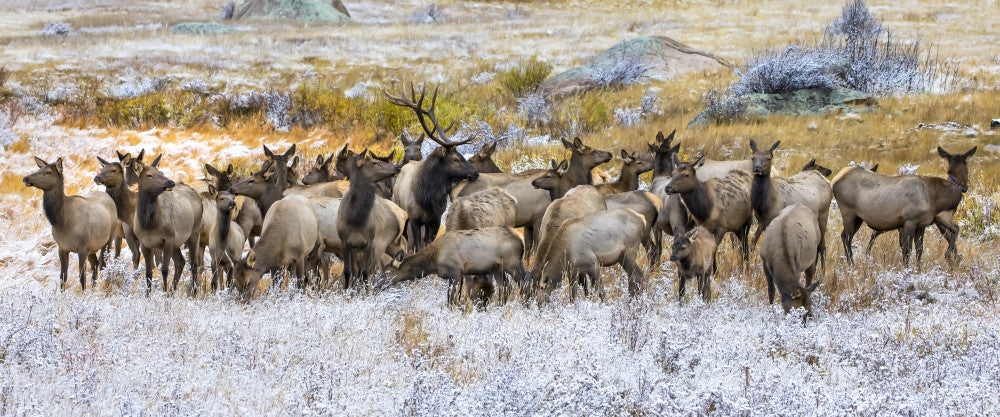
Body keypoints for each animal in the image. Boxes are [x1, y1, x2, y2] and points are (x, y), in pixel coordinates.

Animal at [24, 157, 117, 291]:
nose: (26, 178)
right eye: (39, 169)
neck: (63, 224)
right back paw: (94, 287)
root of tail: (108, 197)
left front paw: (84, 294)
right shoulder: (62, 247)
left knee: (104, 264)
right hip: (92, 247)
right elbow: (63, 277)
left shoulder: (82, 246)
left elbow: (81, 277)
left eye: (48, 172)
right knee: (95, 264)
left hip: (108, 238)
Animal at [130, 157, 204, 295]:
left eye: (161, 173)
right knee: (181, 262)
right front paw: (147, 295)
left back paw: (194, 292)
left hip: (194, 233)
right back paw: (172, 291)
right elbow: (148, 273)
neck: (150, 225)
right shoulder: (144, 243)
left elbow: (164, 270)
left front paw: (163, 293)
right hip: (176, 243)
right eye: (149, 175)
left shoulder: (168, 238)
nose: (170, 182)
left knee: (194, 263)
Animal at [336, 150, 402, 289]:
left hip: (382, 244)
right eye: (374, 162)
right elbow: (348, 271)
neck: (355, 219)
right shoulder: (345, 242)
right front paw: (348, 290)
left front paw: (364, 292)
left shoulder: (369, 242)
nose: (398, 167)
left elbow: (365, 272)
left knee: (377, 268)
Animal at [385, 83, 479, 252]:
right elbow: (418, 246)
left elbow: (429, 244)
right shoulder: (414, 219)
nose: (475, 172)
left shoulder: (435, 219)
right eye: (456, 159)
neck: (428, 197)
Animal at [831, 146, 977, 265]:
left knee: (845, 236)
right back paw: (851, 263)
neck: (934, 199)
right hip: (848, 212)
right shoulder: (909, 221)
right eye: (966, 163)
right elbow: (907, 250)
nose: (965, 188)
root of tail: (834, 180)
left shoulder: (922, 224)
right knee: (846, 237)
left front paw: (918, 269)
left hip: (858, 218)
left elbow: (919, 249)